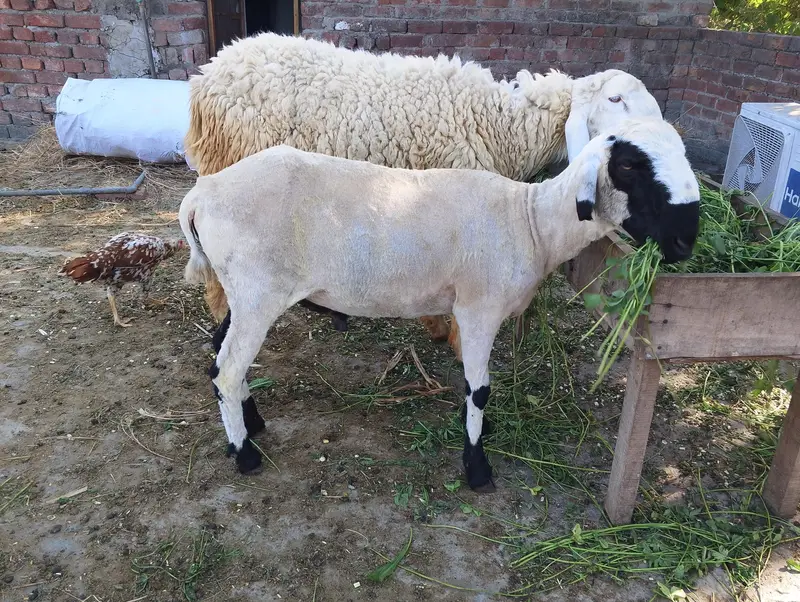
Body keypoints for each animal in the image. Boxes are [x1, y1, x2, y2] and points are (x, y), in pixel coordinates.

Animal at [177, 116, 700, 490]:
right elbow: (480, 388)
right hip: (258, 290)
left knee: (220, 353)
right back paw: (245, 454)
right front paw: (477, 467)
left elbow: (473, 383)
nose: (686, 241)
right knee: (227, 368)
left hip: (243, 291)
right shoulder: (478, 309)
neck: (530, 220)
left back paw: (252, 423)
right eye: (629, 165)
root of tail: (201, 195)